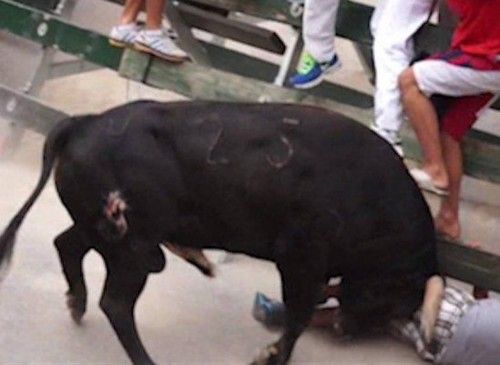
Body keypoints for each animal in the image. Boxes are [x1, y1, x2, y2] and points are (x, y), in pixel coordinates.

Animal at [0, 100, 438, 364]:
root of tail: (85, 122)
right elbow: (298, 316)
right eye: (389, 292)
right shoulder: (301, 259)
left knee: (67, 244)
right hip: (135, 249)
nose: (346, 330)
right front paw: (272, 355)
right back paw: (144, 358)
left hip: (104, 231)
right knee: (117, 303)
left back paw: (77, 303)